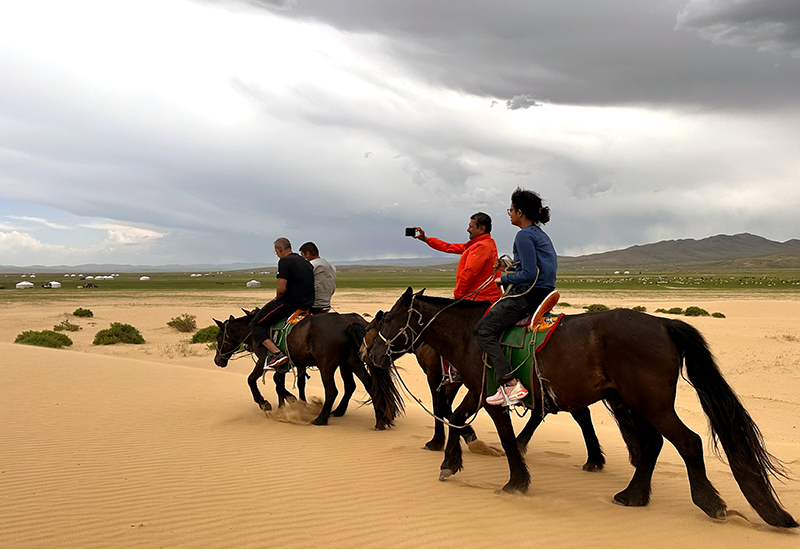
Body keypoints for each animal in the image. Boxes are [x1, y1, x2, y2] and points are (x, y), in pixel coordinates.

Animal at [216, 310, 404, 432]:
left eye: (219, 337)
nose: (217, 360)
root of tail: (348, 323)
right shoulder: (288, 365)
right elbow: (282, 384)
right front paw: (288, 404)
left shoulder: (264, 361)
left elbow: (252, 380)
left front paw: (266, 404)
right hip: (353, 363)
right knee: (369, 386)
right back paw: (378, 421)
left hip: (327, 366)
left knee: (333, 391)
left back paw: (321, 419)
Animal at [360, 310, 604, 474]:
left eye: (369, 329)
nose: (365, 354)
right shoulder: (458, 383)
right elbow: (450, 410)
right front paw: (469, 438)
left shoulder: (437, 376)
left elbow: (441, 408)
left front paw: (440, 442)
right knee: (563, 412)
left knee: (576, 413)